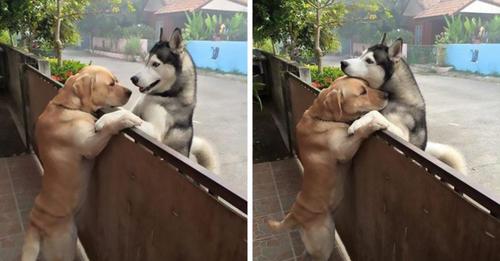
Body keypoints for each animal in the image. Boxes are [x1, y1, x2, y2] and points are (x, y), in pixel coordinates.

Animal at [21, 65, 143, 260]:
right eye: (111, 84)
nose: (130, 91)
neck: (68, 106)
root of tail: (35, 224)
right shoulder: (89, 145)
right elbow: (108, 127)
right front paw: (125, 119)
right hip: (65, 244)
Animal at [131, 27, 219, 173]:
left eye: (155, 64)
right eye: (145, 62)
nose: (133, 79)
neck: (164, 96)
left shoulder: (155, 131)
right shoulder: (135, 111)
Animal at [270, 76, 390, 258]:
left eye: (368, 85)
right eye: (362, 92)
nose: (387, 94)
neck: (321, 117)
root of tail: (295, 215)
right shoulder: (344, 150)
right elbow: (360, 131)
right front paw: (372, 124)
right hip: (325, 239)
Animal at [342, 34, 466, 173]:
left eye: (369, 60)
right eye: (361, 54)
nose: (342, 63)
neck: (397, 98)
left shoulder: (402, 136)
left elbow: (375, 113)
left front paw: (356, 124)